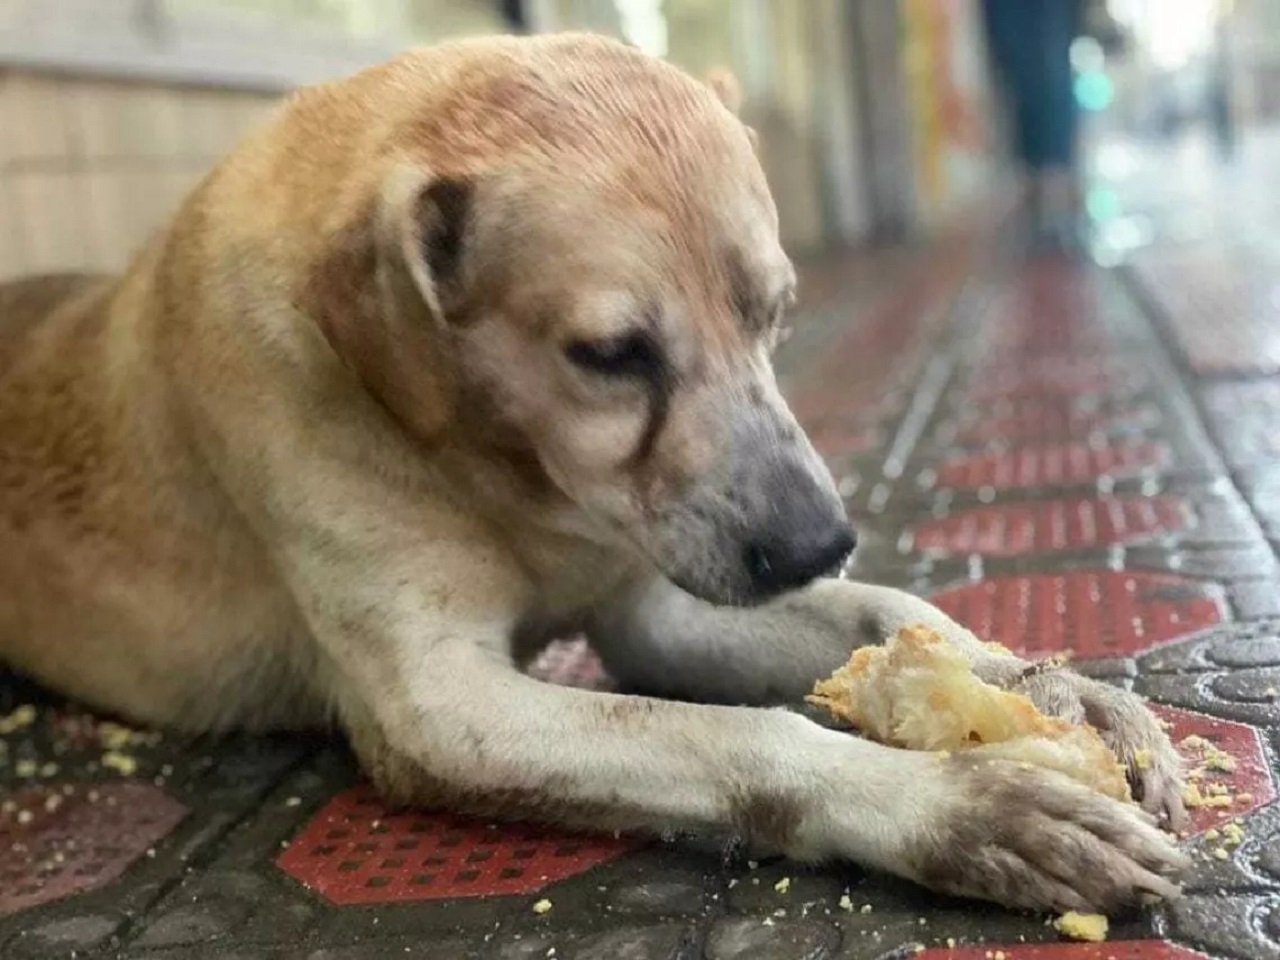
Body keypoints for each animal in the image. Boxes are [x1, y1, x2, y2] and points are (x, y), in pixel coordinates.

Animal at [0, 33, 1187, 911]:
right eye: (610, 354)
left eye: (777, 312)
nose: (819, 543)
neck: (510, 474)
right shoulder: (440, 705)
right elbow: (737, 734)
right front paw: (950, 803)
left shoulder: (658, 611)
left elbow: (893, 613)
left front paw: (1042, 685)